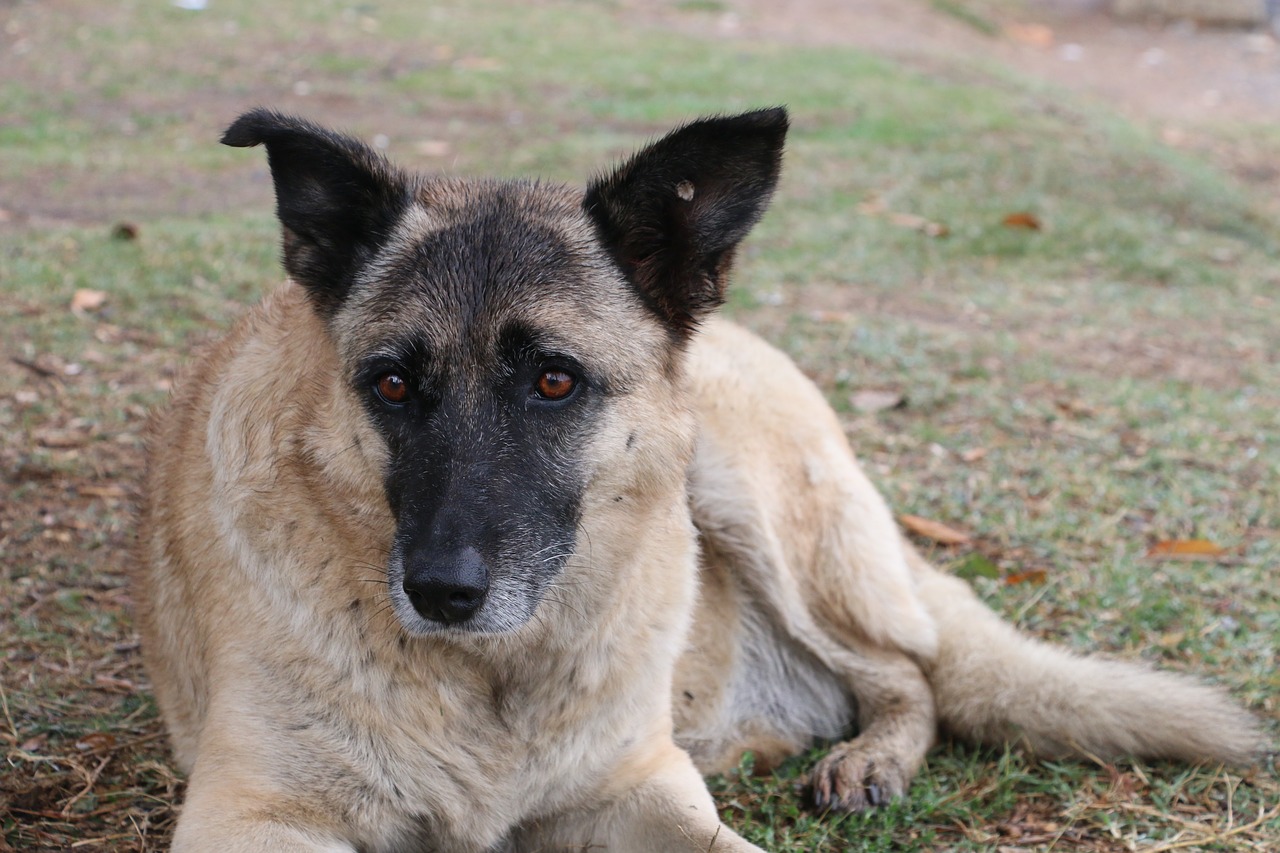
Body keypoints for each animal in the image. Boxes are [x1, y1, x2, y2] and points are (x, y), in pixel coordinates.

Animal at [135, 109, 1264, 845]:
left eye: (554, 379)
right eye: (392, 383)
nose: (443, 592)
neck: (494, 678)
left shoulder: (639, 789)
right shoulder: (256, 814)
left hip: (741, 495)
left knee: (910, 672)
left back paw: (868, 756)